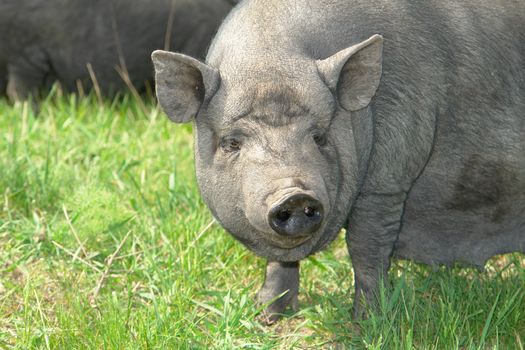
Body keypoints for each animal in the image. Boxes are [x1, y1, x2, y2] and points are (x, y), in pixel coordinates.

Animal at [150, 0, 524, 322]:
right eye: (231, 143)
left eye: (319, 136)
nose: (293, 195)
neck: (272, 58)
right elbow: (279, 261)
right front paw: (266, 316)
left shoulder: (387, 180)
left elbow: (366, 249)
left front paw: (366, 325)